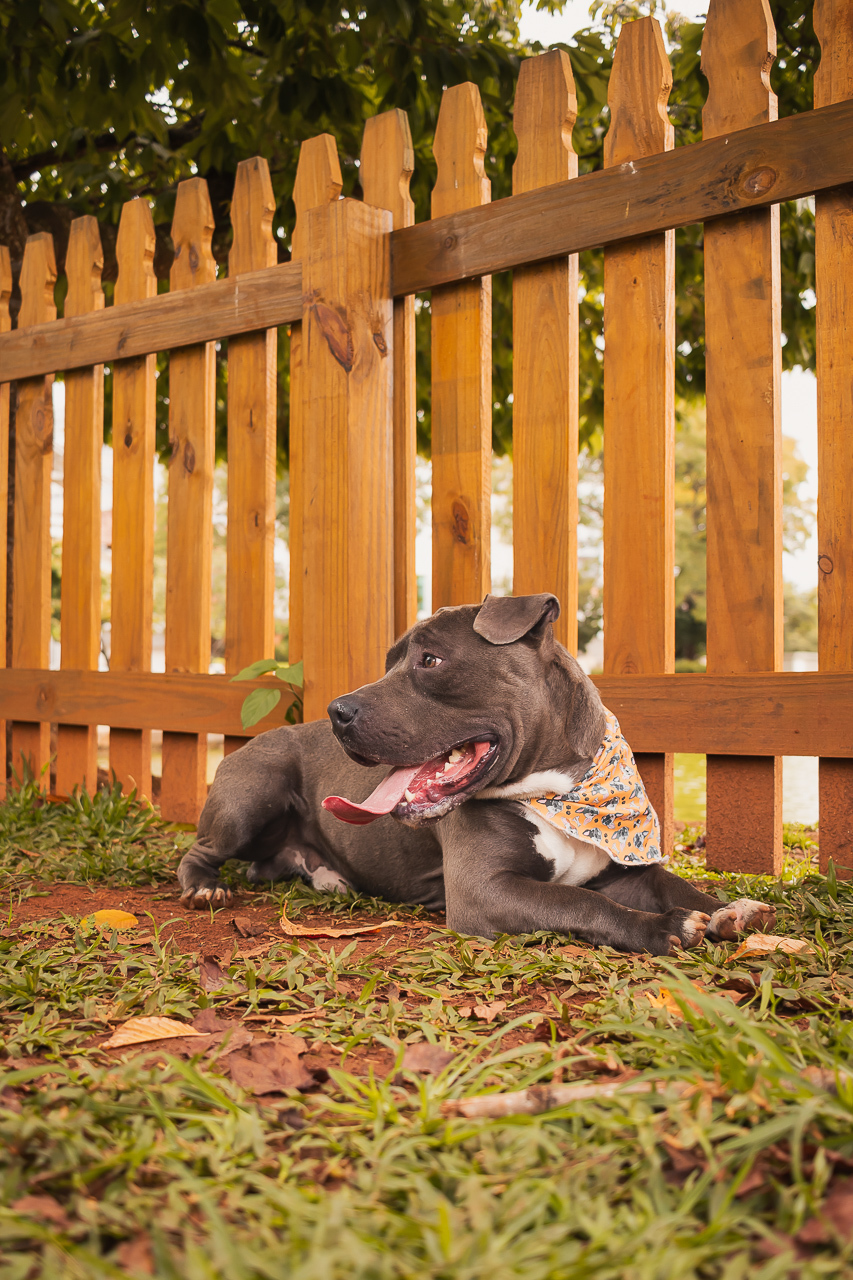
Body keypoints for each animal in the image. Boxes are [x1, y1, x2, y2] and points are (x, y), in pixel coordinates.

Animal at [177, 593, 776, 954]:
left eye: (430, 661)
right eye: (391, 661)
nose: (336, 711)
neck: (560, 793)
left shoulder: (625, 871)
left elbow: (675, 883)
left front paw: (731, 911)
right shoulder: (484, 890)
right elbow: (580, 902)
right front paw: (662, 926)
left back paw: (327, 874)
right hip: (251, 792)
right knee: (200, 851)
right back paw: (206, 888)